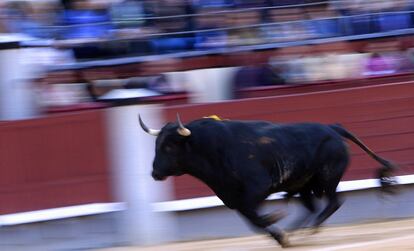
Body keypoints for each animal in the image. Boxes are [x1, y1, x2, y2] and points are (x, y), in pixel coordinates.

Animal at [137, 115, 396, 247]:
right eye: (157, 144)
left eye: (169, 146)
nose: (154, 173)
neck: (210, 148)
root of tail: (333, 127)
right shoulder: (232, 197)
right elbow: (251, 219)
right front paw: (279, 234)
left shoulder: (257, 189)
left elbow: (254, 215)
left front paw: (276, 225)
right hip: (303, 185)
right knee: (311, 207)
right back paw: (297, 232)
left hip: (327, 178)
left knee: (333, 202)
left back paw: (308, 230)